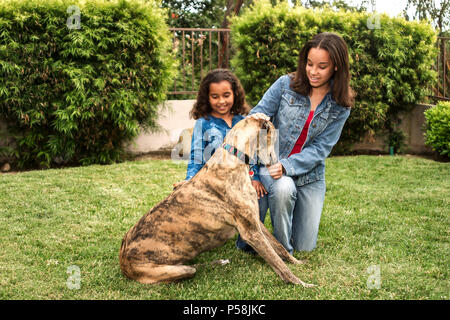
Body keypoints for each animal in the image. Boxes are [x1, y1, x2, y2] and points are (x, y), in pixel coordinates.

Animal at [121, 117, 314, 288]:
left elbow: (279, 247)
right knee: (190, 269)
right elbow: (278, 263)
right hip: (169, 270)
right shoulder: (251, 232)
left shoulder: (255, 222)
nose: (277, 165)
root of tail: (122, 262)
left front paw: (296, 261)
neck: (234, 157)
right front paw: (302, 284)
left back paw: (220, 261)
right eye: (275, 135)